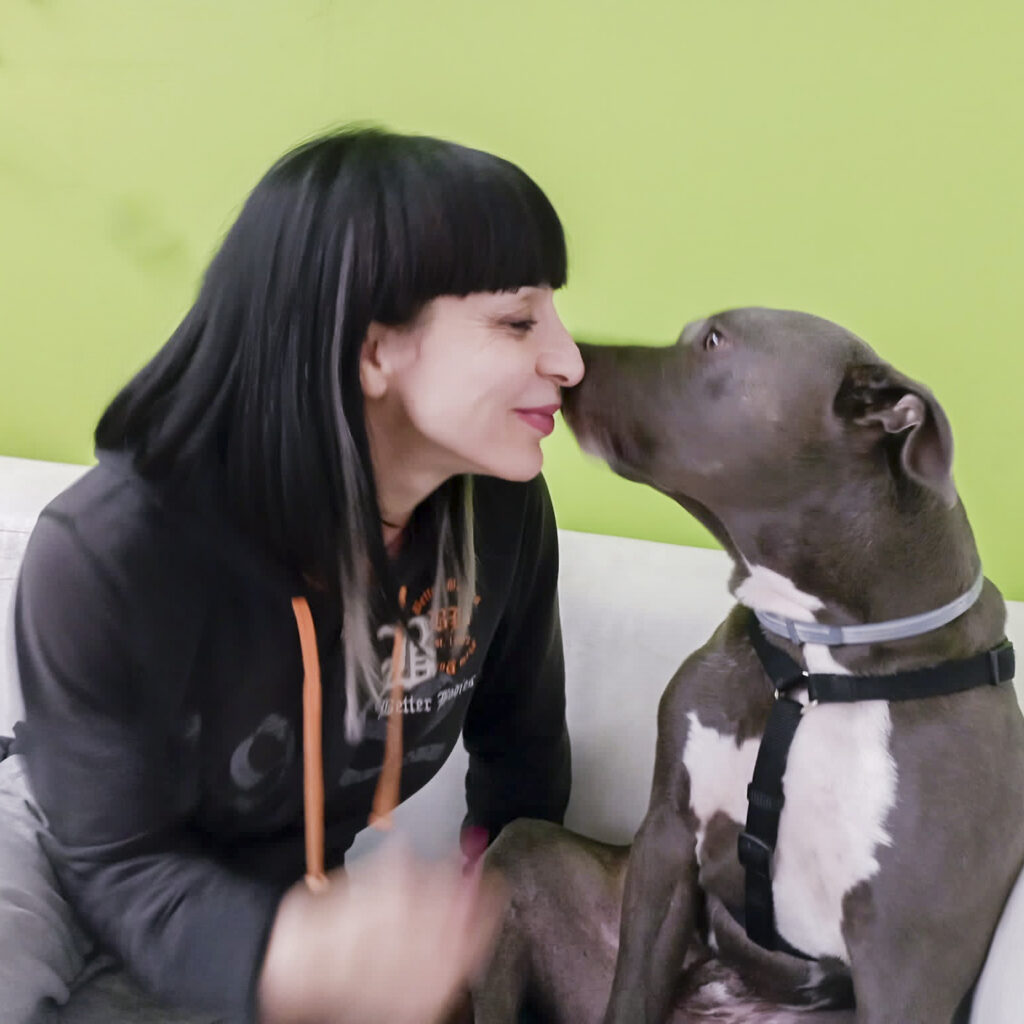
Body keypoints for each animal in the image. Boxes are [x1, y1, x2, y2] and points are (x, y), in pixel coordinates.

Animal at [471, 308, 1024, 1023]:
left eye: (714, 340)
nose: (570, 360)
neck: (814, 667)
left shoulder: (909, 961)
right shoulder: (666, 839)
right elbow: (633, 989)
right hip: (526, 854)